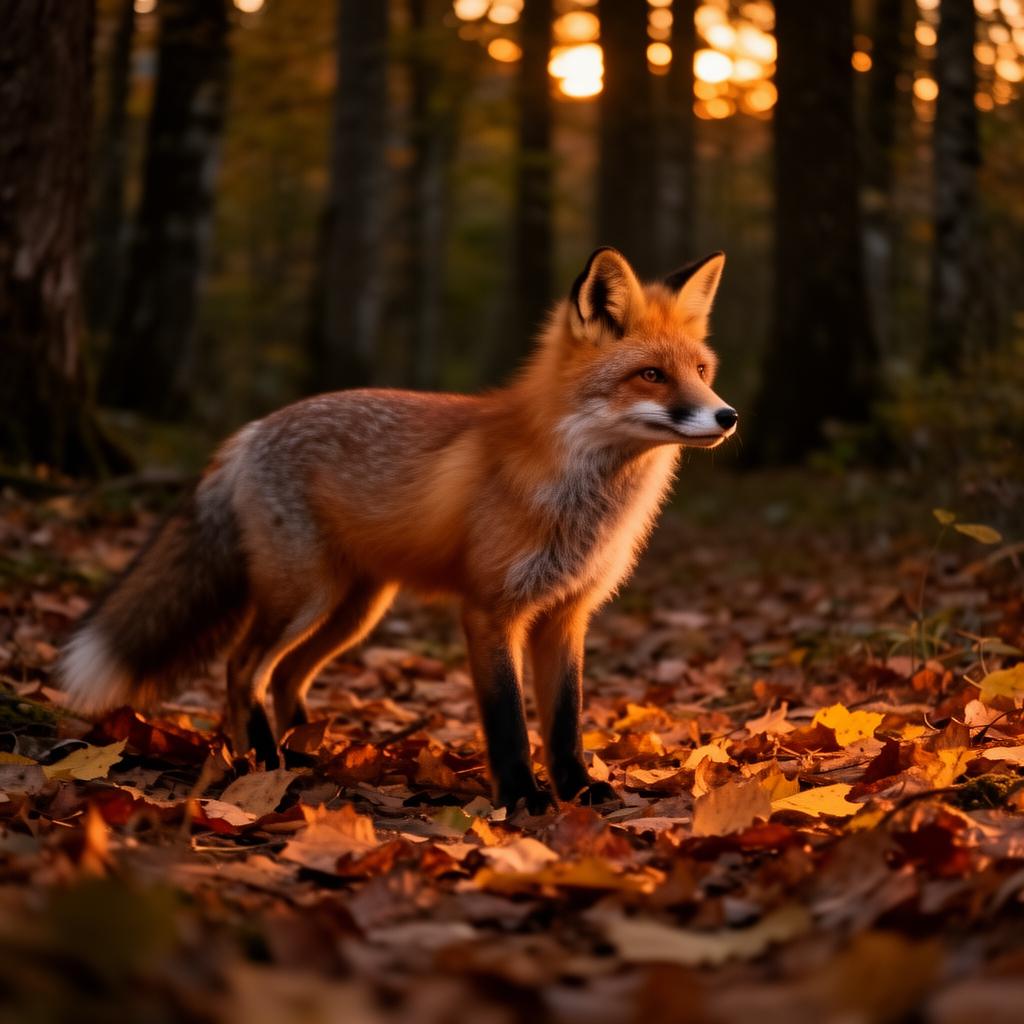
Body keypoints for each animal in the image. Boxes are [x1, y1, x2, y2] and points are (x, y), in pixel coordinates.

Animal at [59, 247, 737, 812]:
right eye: (651, 375)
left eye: (702, 371)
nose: (727, 415)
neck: (576, 488)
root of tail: (250, 432)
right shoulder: (490, 610)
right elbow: (509, 723)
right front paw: (522, 799)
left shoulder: (568, 612)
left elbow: (565, 722)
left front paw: (577, 791)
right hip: (303, 597)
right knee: (242, 666)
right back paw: (264, 759)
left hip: (355, 609)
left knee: (286, 673)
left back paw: (302, 749)